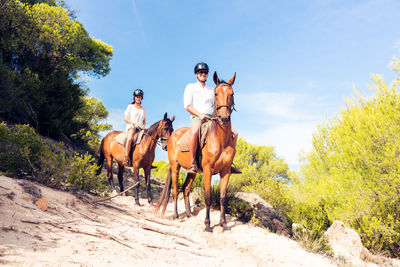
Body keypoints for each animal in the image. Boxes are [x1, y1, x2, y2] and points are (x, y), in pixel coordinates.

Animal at [155, 73, 238, 232]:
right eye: (216, 93)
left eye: (232, 93)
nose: (224, 118)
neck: (220, 140)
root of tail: (173, 136)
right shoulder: (207, 170)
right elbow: (208, 198)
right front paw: (207, 225)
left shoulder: (226, 171)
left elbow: (223, 198)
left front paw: (224, 224)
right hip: (175, 167)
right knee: (175, 190)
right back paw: (176, 215)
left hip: (192, 171)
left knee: (186, 189)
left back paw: (188, 214)